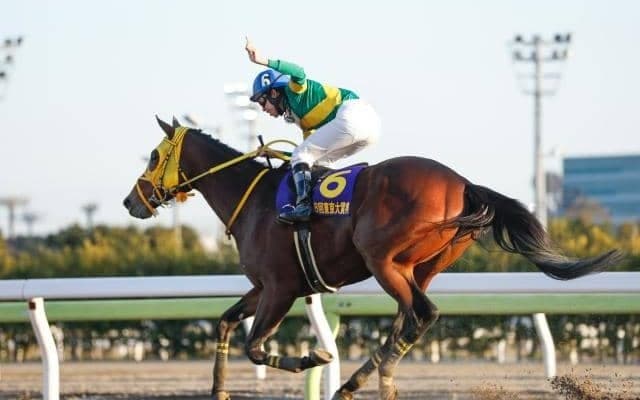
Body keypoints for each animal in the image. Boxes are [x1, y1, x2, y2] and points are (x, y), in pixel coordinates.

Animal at [123, 117, 622, 400]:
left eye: (153, 155)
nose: (132, 201)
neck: (257, 201)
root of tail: (464, 183)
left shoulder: (281, 289)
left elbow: (257, 346)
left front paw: (317, 355)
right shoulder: (263, 287)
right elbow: (227, 324)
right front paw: (219, 390)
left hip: (382, 259)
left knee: (423, 313)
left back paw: (358, 380)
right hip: (421, 266)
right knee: (409, 319)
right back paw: (363, 381)